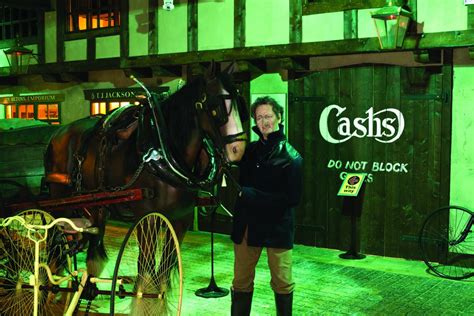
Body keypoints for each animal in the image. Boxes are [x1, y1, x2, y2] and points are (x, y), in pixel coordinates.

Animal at [43, 65, 248, 312]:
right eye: (215, 107)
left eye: (239, 102)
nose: (238, 150)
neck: (163, 153)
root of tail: (57, 133)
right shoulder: (146, 218)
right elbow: (148, 270)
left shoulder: (180, 219)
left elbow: (164, 273)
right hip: (60, 202)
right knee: (54, 246)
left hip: (96, 206)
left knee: (92, 243)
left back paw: (86, 290)